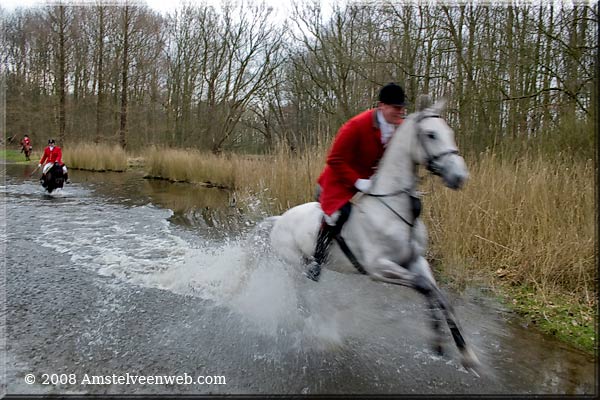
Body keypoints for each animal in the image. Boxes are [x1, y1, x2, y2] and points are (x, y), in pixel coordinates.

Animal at [268, 96, 478, 368]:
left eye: (450, 132)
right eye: (431, 134)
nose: (459, 176)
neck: (396, 211)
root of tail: (279, 219)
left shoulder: (416, 261)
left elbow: (440, 297)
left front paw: (459, 351)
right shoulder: (379, 268)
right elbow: (425, 287)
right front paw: (442, 343)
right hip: (293, 265)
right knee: (302, 298)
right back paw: (315, 329)